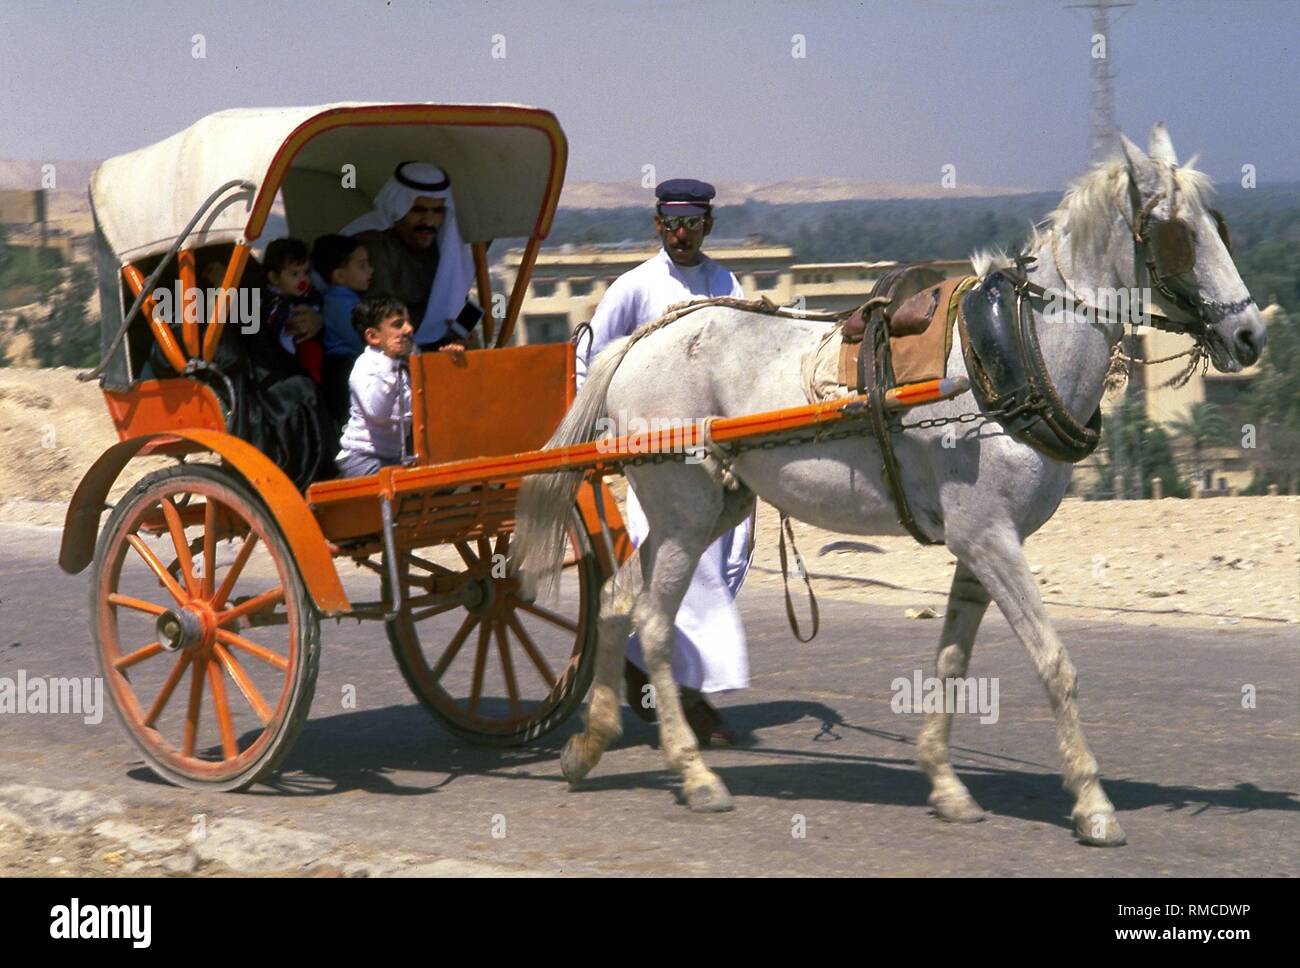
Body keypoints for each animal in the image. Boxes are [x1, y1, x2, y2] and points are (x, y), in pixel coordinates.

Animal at [509, 124, 1268, 841]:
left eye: (1220, 223)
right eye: (1175, 232)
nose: (1250, 336)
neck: (1017, 353)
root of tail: (637, 340)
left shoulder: (978, 541)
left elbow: (953, 660)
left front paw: (946, 784)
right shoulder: (991, 536)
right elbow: (1054, 662)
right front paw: (1093, 804)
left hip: (709, 508)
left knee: (615, 599)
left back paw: (589, 744)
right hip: (682, 511)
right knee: (654, 623)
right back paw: (694, 774)